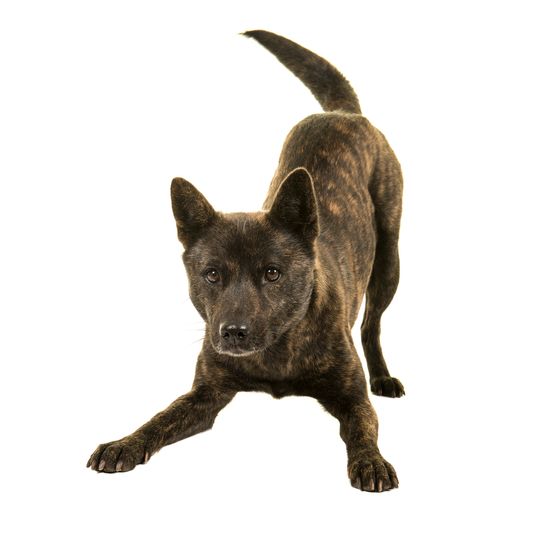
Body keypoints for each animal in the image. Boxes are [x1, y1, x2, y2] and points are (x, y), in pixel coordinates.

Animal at [88, 29, 404, 490]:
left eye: (272, 273)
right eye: (211, 274)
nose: (233, 332)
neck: (278, 346)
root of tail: (342, 112)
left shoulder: (351, 397)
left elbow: (364, 428)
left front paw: (371, 461)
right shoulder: (205, 395)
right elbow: (159, 418)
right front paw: (124, 443)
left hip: (390, 261)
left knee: (372, 324)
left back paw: (383, 375)